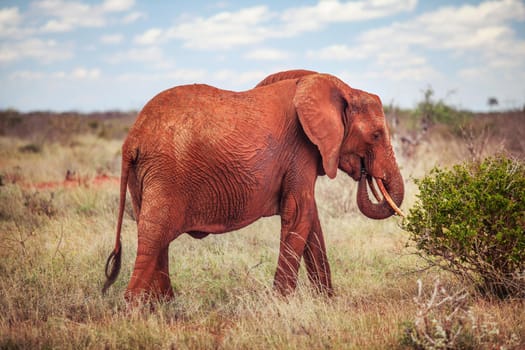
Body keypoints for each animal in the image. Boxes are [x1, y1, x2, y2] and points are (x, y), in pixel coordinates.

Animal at [103, 69, 406, 300]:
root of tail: (132, 138)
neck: (341, 87)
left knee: (156, 238)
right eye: (376, 135)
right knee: (154, 237)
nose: (366, 172)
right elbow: (300, 213)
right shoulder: (300, 150)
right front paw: (282, 306)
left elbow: (311, 220)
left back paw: (164, 307)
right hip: (164, 174)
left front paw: (327, 302)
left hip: (146, 178)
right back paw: (136, 313)